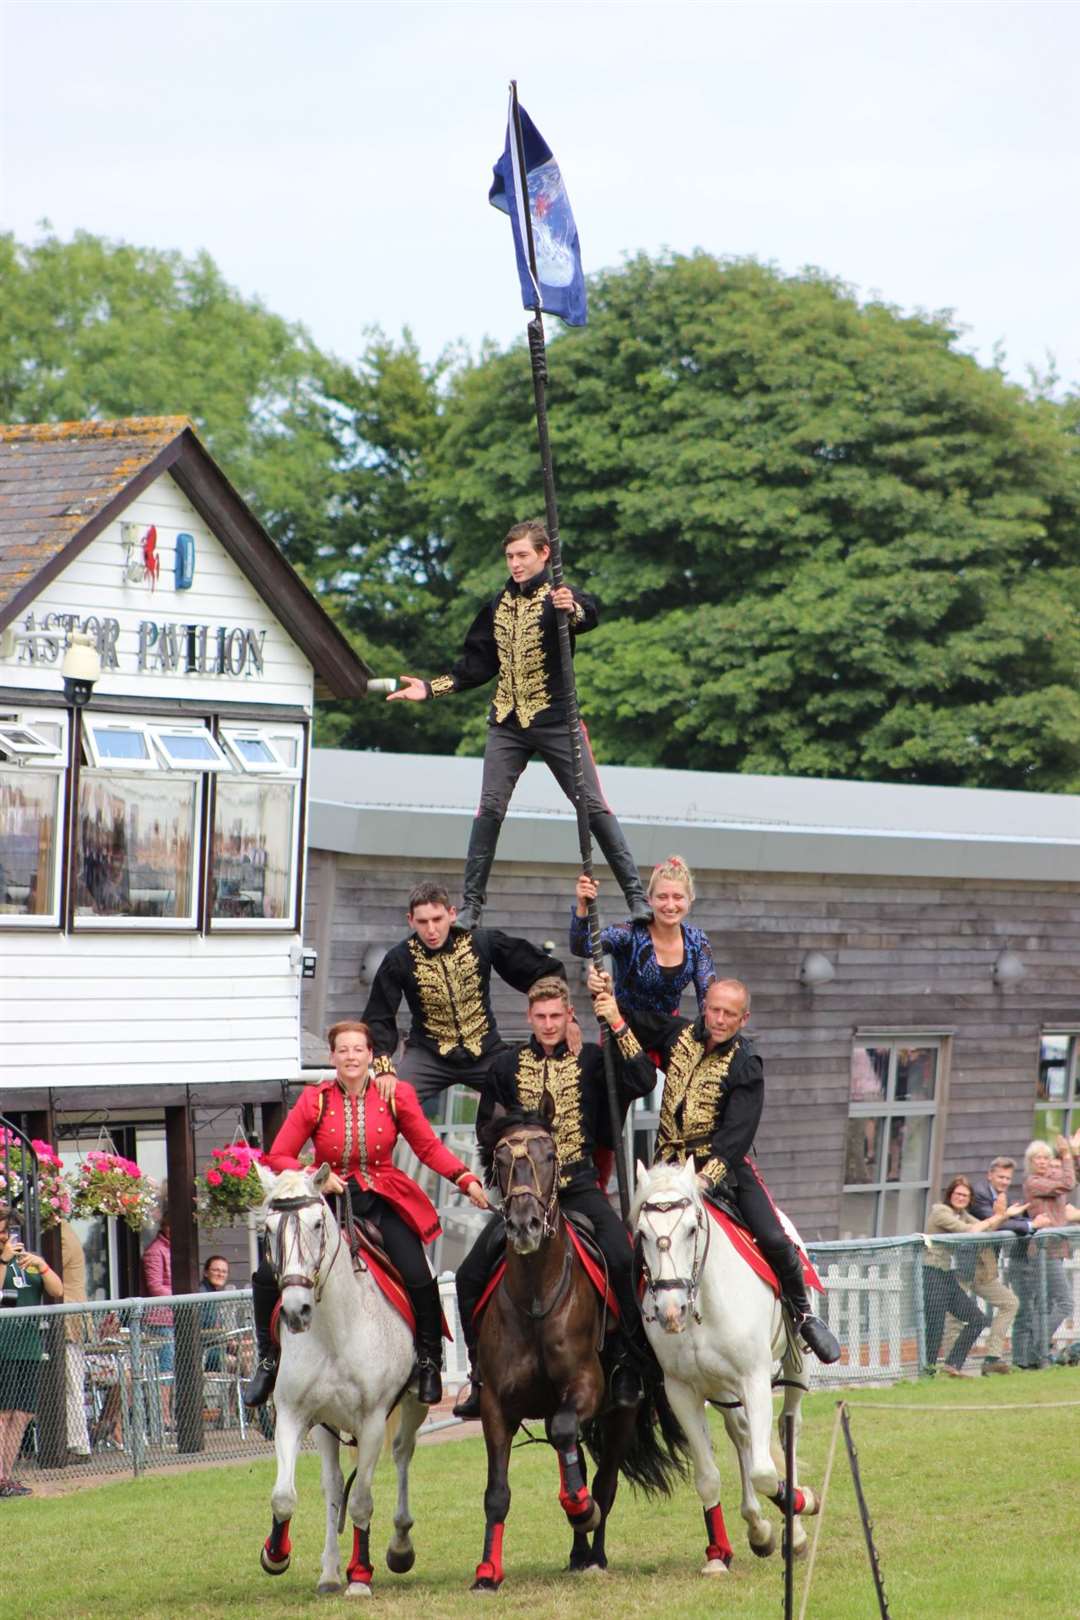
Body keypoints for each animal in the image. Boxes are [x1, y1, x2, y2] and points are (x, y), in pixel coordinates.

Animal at [255, 1166, 427, 1594]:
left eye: (317, 1224)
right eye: (267, 1229)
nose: (295, 1310)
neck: (334, 1330)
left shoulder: (372, 1421)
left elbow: (363, 1500)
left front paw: (361, 1575)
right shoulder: (293, 1415)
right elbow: (285, 1496)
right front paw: (276, 1554)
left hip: (414, 1404)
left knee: (402, 1453)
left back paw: (399, 1545)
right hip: (326, 1426)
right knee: (333, 1487)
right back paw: (331, 1572)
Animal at [469, 1108, 683, 1587]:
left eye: (550, 1154)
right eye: (499, 1159)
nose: (525, 1225)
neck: (535, 1297)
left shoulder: (586, 1387)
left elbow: (571, 1441)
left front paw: (583, 1511)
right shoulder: (495, 1405)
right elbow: (496, 1493)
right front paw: (488, 1571)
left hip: (620, 1413)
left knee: (604, 1481)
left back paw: (594, 1548)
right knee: (577, 1465)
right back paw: (577, 1551)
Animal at [628, 1159, 816, 1574]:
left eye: (691, 1228)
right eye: (642, 1233)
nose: (670, 1311)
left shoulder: (755, 1380)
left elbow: (764, 1471)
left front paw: (802, 1505)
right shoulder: (682, 1391)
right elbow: (708, 1478)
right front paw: (719, 1554)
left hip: (795, 1364)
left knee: (787, 1429)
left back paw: (793, 1529)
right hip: (720, 1388)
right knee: (741, 1433)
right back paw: (757, 1528)